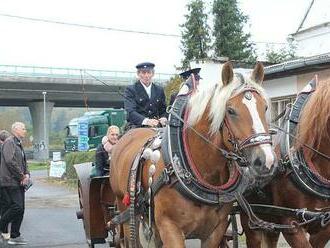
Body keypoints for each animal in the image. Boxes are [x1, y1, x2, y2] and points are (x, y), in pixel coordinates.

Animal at [110, 61, 276, 246]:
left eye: (265, 107)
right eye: (231, 110)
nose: (266, 160)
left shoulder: (215, 232)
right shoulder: (170, 228)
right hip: (124, 208)